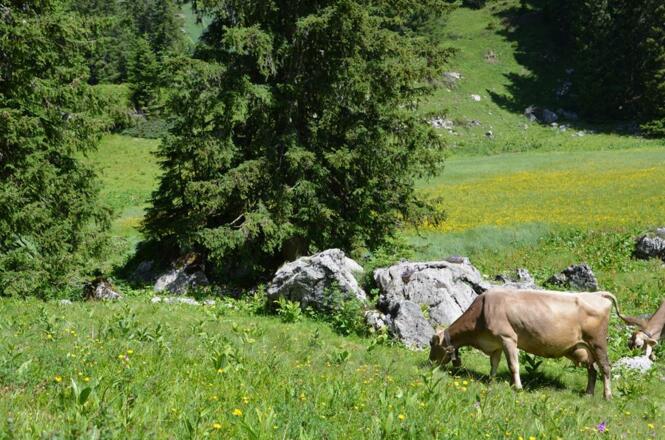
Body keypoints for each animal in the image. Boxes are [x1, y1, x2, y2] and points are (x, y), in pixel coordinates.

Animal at [429, 287, 635, 400]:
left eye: (431, 343)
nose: (430, 362)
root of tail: (598, 294)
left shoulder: (508, 337)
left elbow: (513, 365)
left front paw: (518, 387)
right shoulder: (495, 342)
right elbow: (494, 364)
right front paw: (491, 381)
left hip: (598, 342)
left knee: (605, 367)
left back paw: (607, 396)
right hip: (584, 347)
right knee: (592, 370)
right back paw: (588, 393)